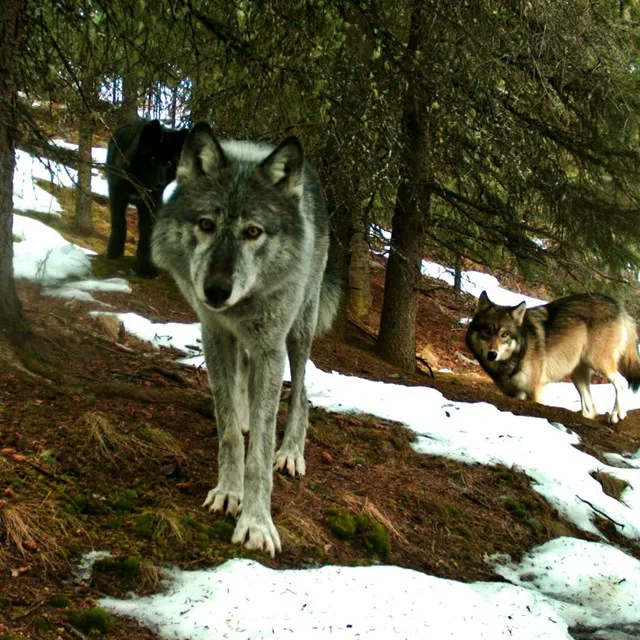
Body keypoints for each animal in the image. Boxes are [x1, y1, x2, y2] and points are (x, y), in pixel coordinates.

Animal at [105, 118, 188, 276]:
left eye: (169, 163)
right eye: (153, 158)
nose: (160, 184)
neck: (139, 182)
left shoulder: (151, 206)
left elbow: (146, 235)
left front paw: (147, 268)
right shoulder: (116, 195)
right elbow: (120, 223)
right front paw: (114, 251)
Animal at [152, 122, 340, 556]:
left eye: (253, 232)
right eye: (206, 225)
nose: (217, 290)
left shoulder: (271, 348)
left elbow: (260, 454)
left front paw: (256, 523)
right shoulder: (216, 335)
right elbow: (228, 432)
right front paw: (228, 492)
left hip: (298, 334)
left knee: (302, 393)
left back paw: (290, 453)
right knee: (244, 392)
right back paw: (245, 416)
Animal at [466, 291, 640, 424]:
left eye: (504, 335)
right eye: (486, 331)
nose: (492, 354)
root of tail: (619, 306)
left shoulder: (536, 391)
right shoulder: (515, 394)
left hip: (598, 363)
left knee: (622, 383)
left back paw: (617, 415)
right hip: (577, 375)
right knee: (590, 409)